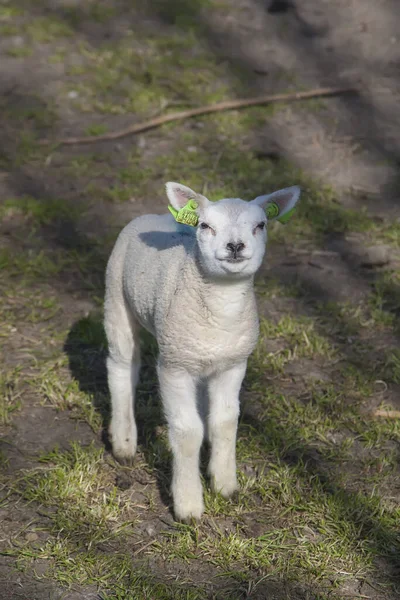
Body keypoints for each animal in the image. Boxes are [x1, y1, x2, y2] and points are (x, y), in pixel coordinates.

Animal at [103, 180, 300, 524]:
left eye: (260, 225)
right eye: (206, 226)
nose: (235, 246)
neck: (221, 310)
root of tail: (154, 215)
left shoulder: (234, 364)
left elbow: (225, 421)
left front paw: (224, 484)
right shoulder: (174, 367)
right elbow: (187, 431)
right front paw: (188, 505)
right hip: (116, 296)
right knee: (122, 367)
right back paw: (124, 442)